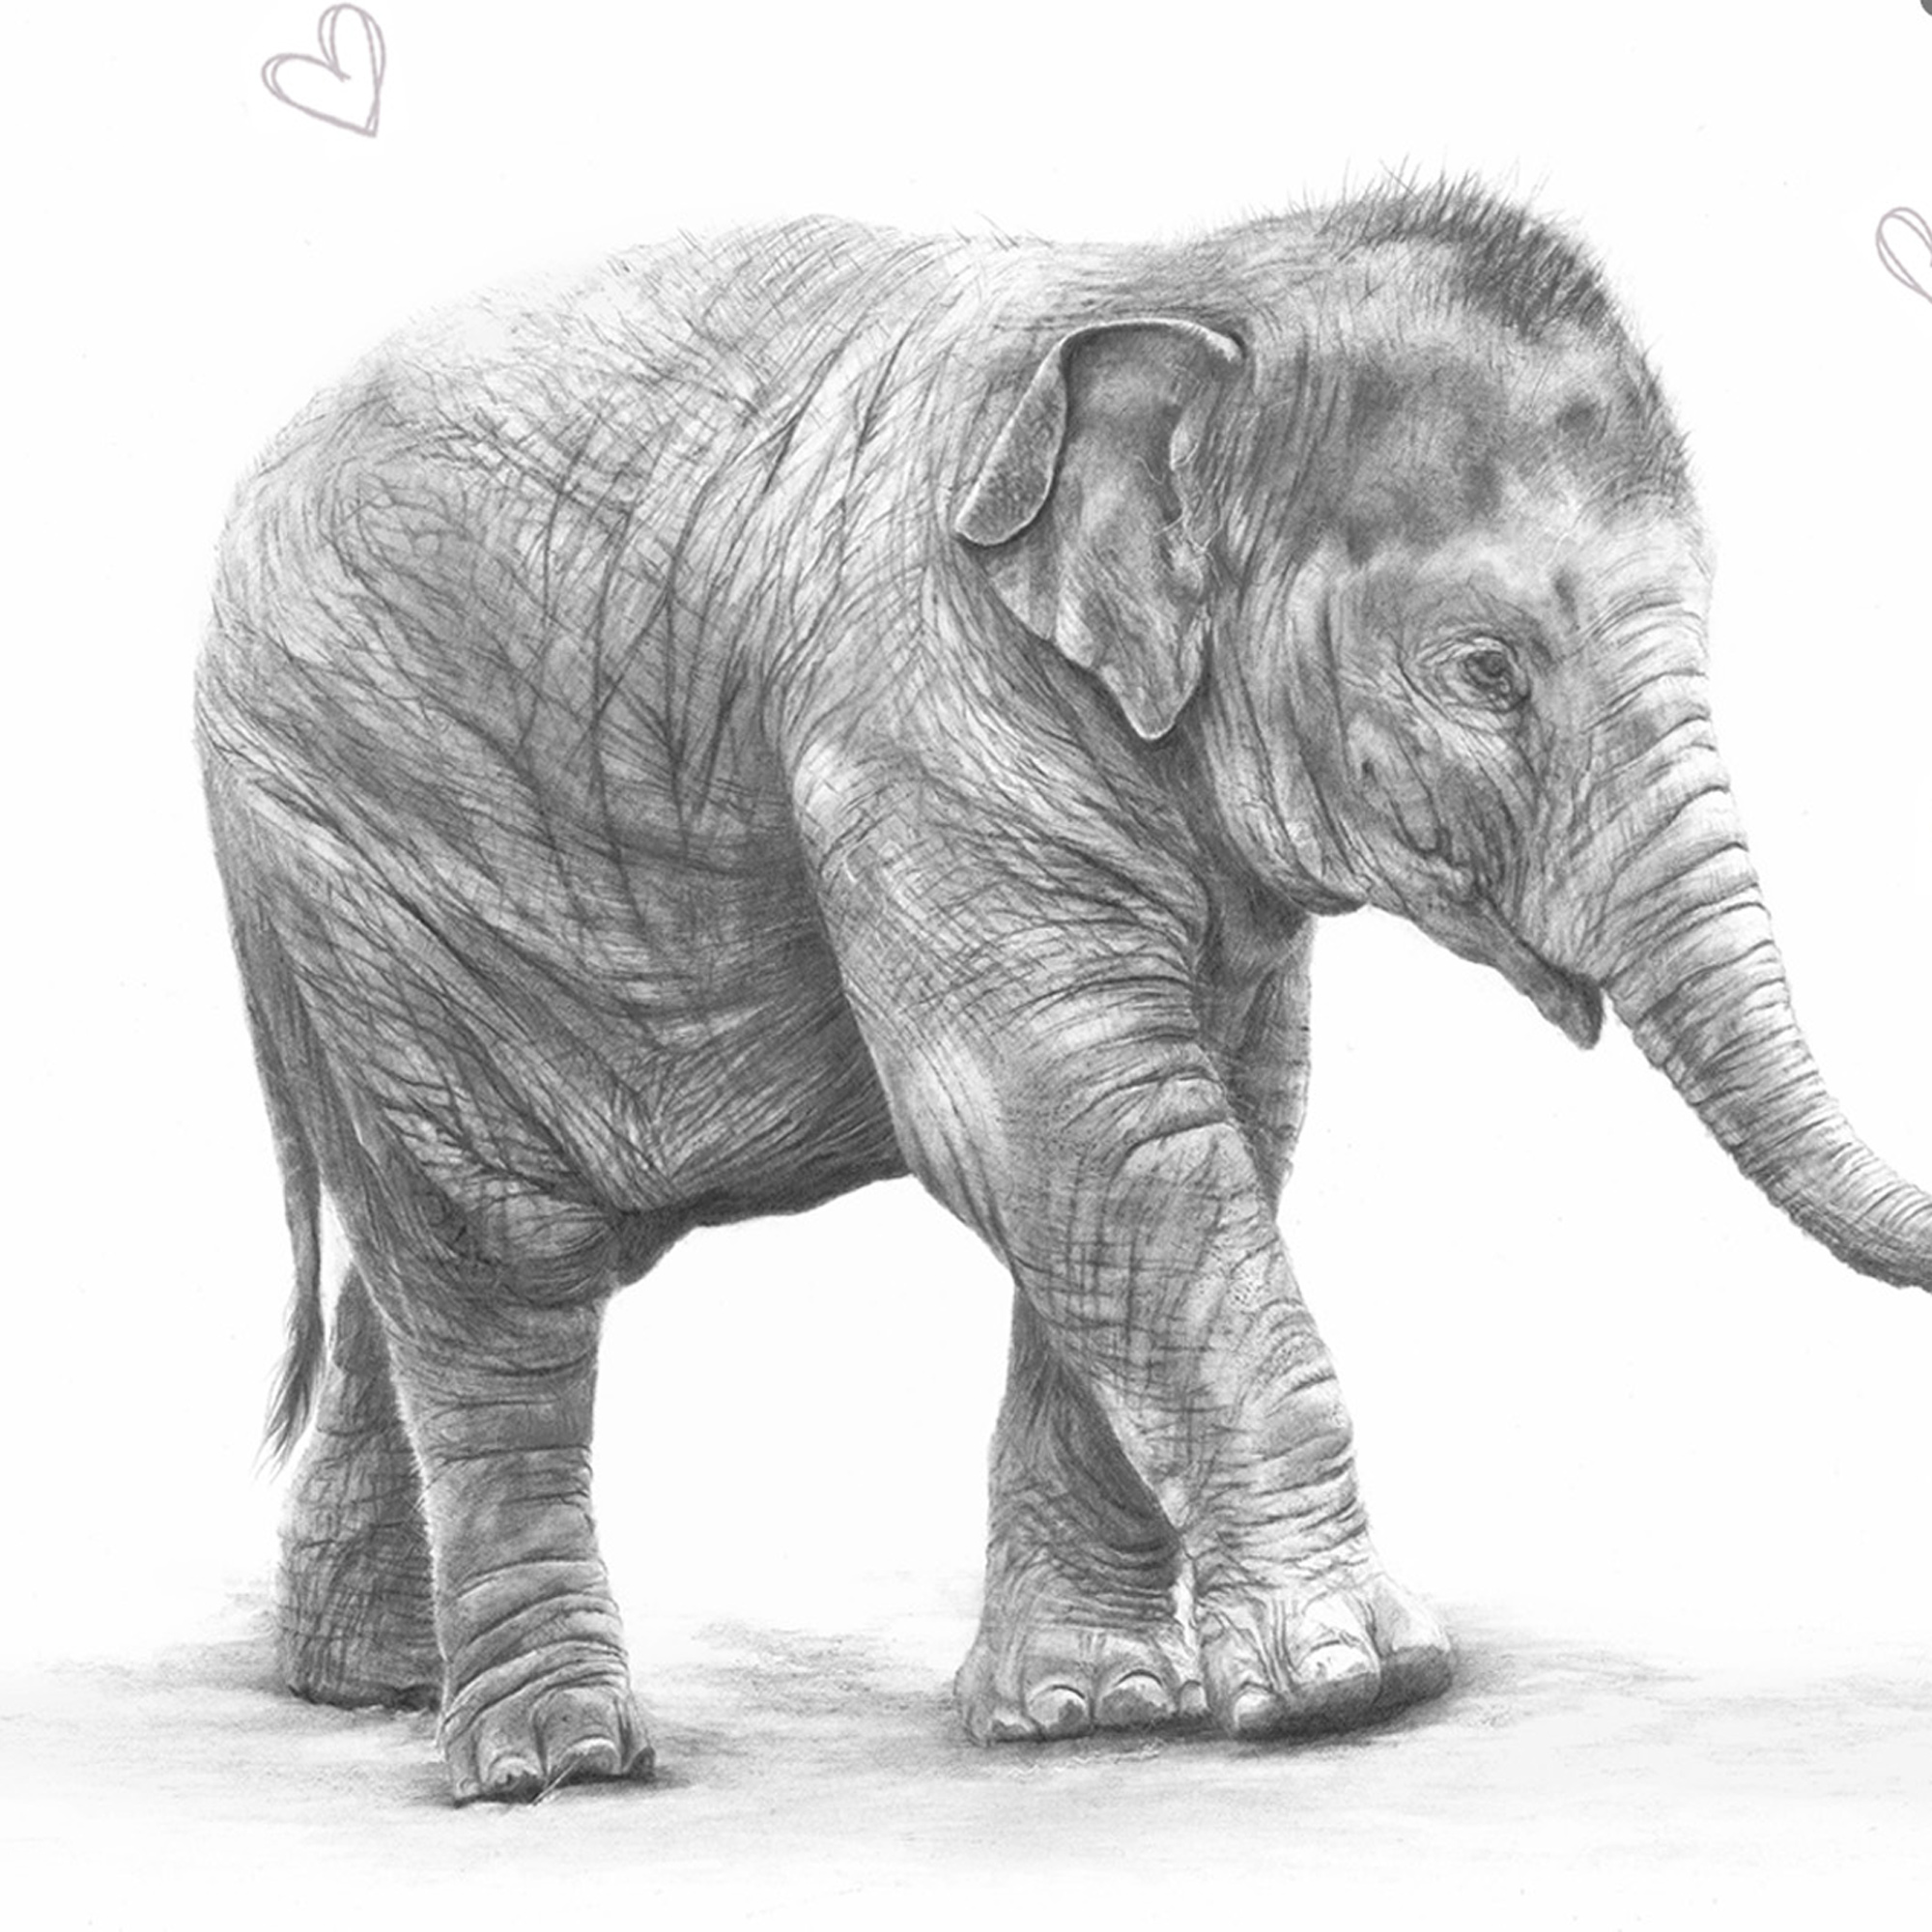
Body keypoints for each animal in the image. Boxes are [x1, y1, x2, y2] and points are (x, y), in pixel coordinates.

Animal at [196, 178, 1931, 1805]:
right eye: (1485, 672)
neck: (1203, 279)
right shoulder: (924, 704)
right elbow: (1075, 1121)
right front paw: (1360, 1684)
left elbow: (1185, 1136)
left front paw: (1092, 1713)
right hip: (357, 848)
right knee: (507, 1256)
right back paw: (552, 1766)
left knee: (428, 1260)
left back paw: (367, 1688)